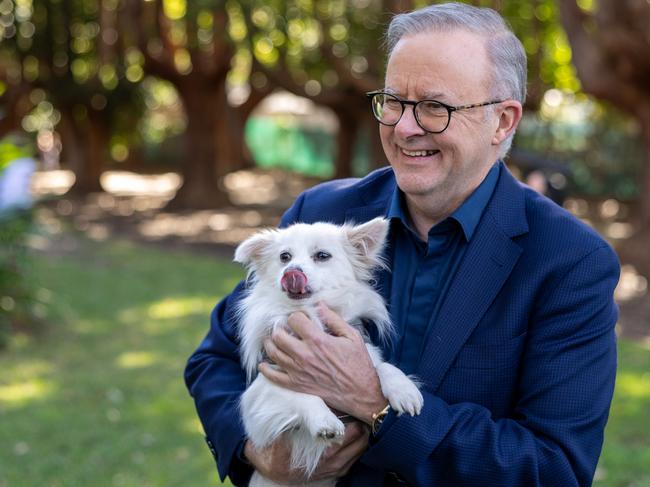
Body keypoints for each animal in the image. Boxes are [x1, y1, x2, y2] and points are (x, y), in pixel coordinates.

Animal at [233, 220, 420, 487]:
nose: (291, 271)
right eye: (284, 257)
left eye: (322, 256)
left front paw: (404, 390)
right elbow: (301, 394)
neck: (310, 314)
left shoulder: (360, 353)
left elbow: (382, 366)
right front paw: (324, 420)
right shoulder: (259, 397)